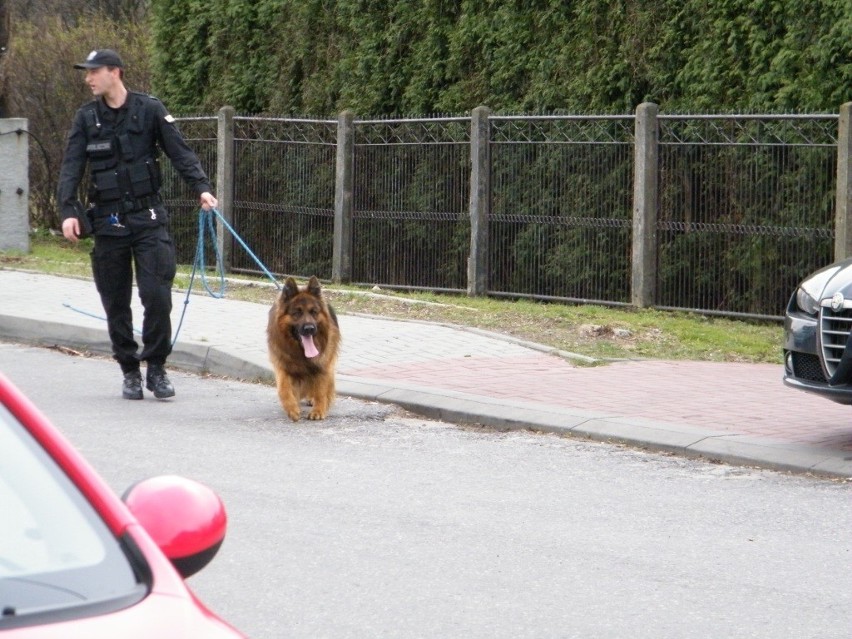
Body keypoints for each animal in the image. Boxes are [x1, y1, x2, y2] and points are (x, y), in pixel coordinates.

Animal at [270, 276, 342, 420]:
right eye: (297, 313)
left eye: (314, 312)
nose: (309, 328)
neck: (301, 352)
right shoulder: (283, 366)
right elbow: (283, 388)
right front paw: (292, 408)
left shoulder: (322, 365)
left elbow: (321, 390)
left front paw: (319, 410)